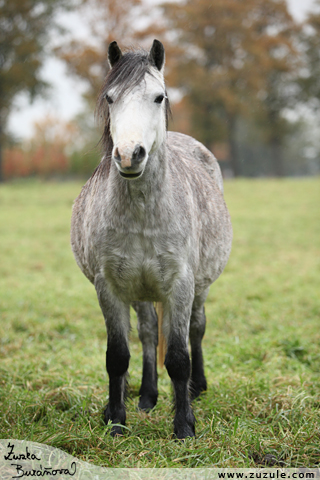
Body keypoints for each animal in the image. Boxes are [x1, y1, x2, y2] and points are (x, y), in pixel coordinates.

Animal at [70, 40, 232, 438]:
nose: (130, 154)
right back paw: (146, 396)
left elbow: (177, 357)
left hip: (199, 287)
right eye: (110, 98)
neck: (143, 213)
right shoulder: (109, 287)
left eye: (159, 97)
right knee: (146, 334)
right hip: (140, 291)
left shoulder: (181, 285)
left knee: (196, 328)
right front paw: (116, 418)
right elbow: (117, 356)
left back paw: (198, 387)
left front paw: (184, 425)